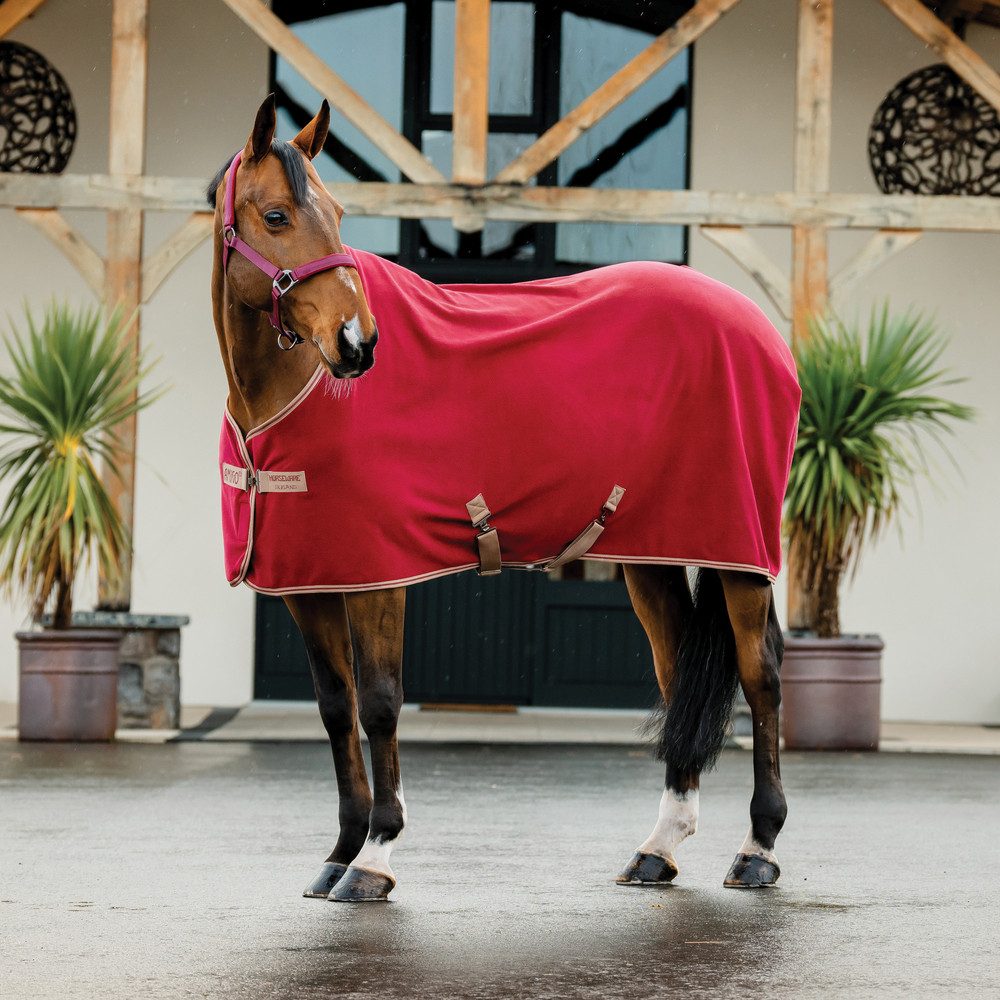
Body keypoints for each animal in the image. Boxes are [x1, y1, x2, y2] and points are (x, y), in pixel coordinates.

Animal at [208, 95, 796, 903]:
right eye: (275, 216)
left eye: (338, 213)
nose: (358, 343)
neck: (290, 395)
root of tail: (761, 330)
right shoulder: (310, 583)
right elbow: (335, 709)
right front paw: (339, 851)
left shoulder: (378, 580)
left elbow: (381, 704)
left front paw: (374, 858)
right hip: (652, 556)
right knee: (678, 672)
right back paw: (658, 849)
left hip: (740, 556)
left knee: (760, 676)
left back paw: (759, 848)